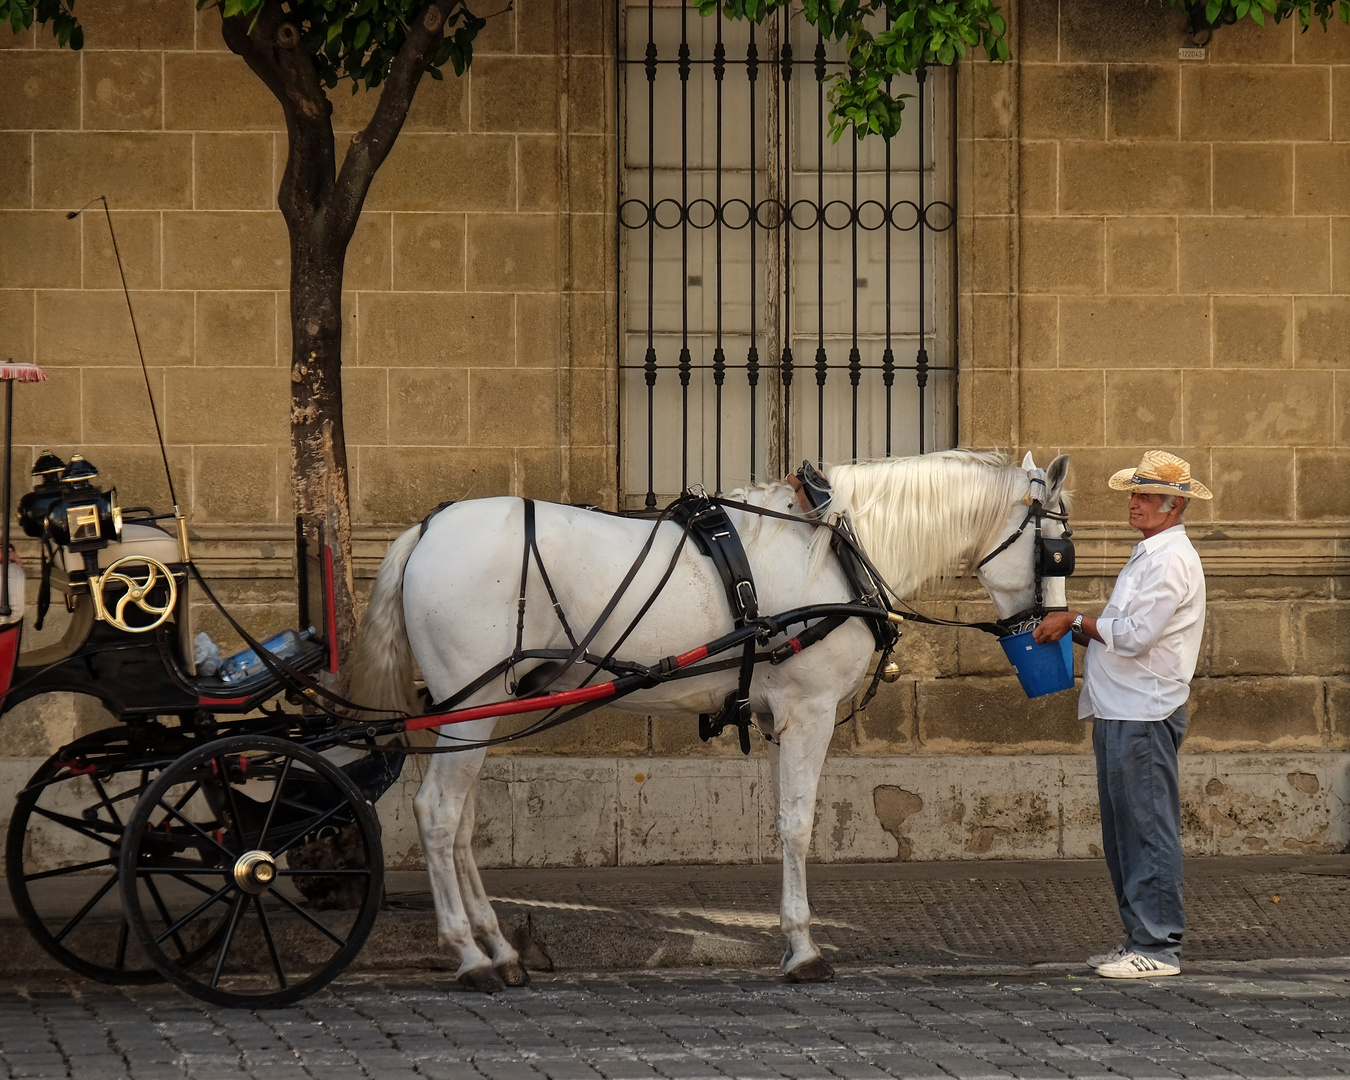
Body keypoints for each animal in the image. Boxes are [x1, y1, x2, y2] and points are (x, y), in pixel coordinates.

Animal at [353, 450, 1069, 993]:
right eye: (1056, 551)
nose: (1054, 629)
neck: (840, 548)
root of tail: (426, 529)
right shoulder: (810, 712)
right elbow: (797, 827)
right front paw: (803, 948)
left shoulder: (785, 716)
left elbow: (786, 822)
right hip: (469, 708)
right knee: (438, 814)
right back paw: (468, 955)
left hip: (479, 709)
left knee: (462, 821)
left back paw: (498, 949)